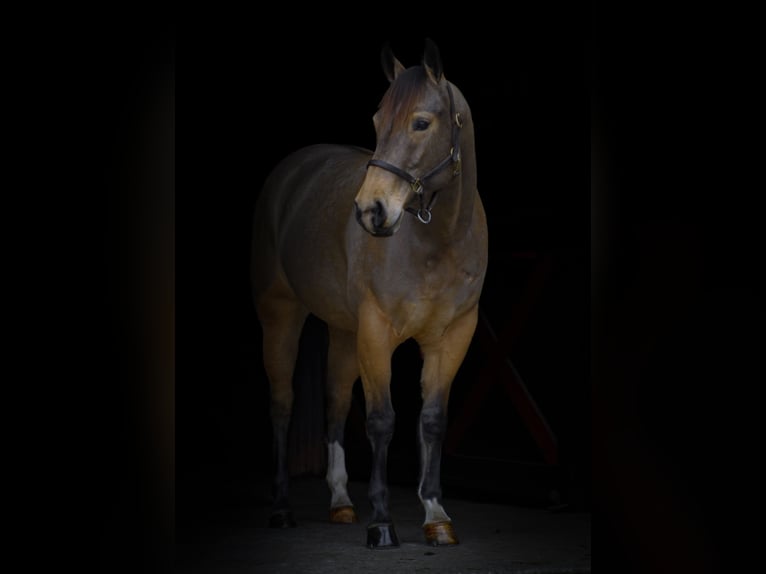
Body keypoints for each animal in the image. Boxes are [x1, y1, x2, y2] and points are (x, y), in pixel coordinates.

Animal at [254, 38, 492, 552]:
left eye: (421, 123)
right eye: (378, 122)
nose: (370, 211)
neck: (439, 240)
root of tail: (290, 172)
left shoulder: (452, 335)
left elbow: (432, 419)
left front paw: (436, 514)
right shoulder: (377, 331)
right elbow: (382, 420)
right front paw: (382, 523)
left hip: (344, 332)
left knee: (336, 401)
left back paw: (341, 501)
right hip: (281, 316)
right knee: (282, 405)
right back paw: (281, 508)